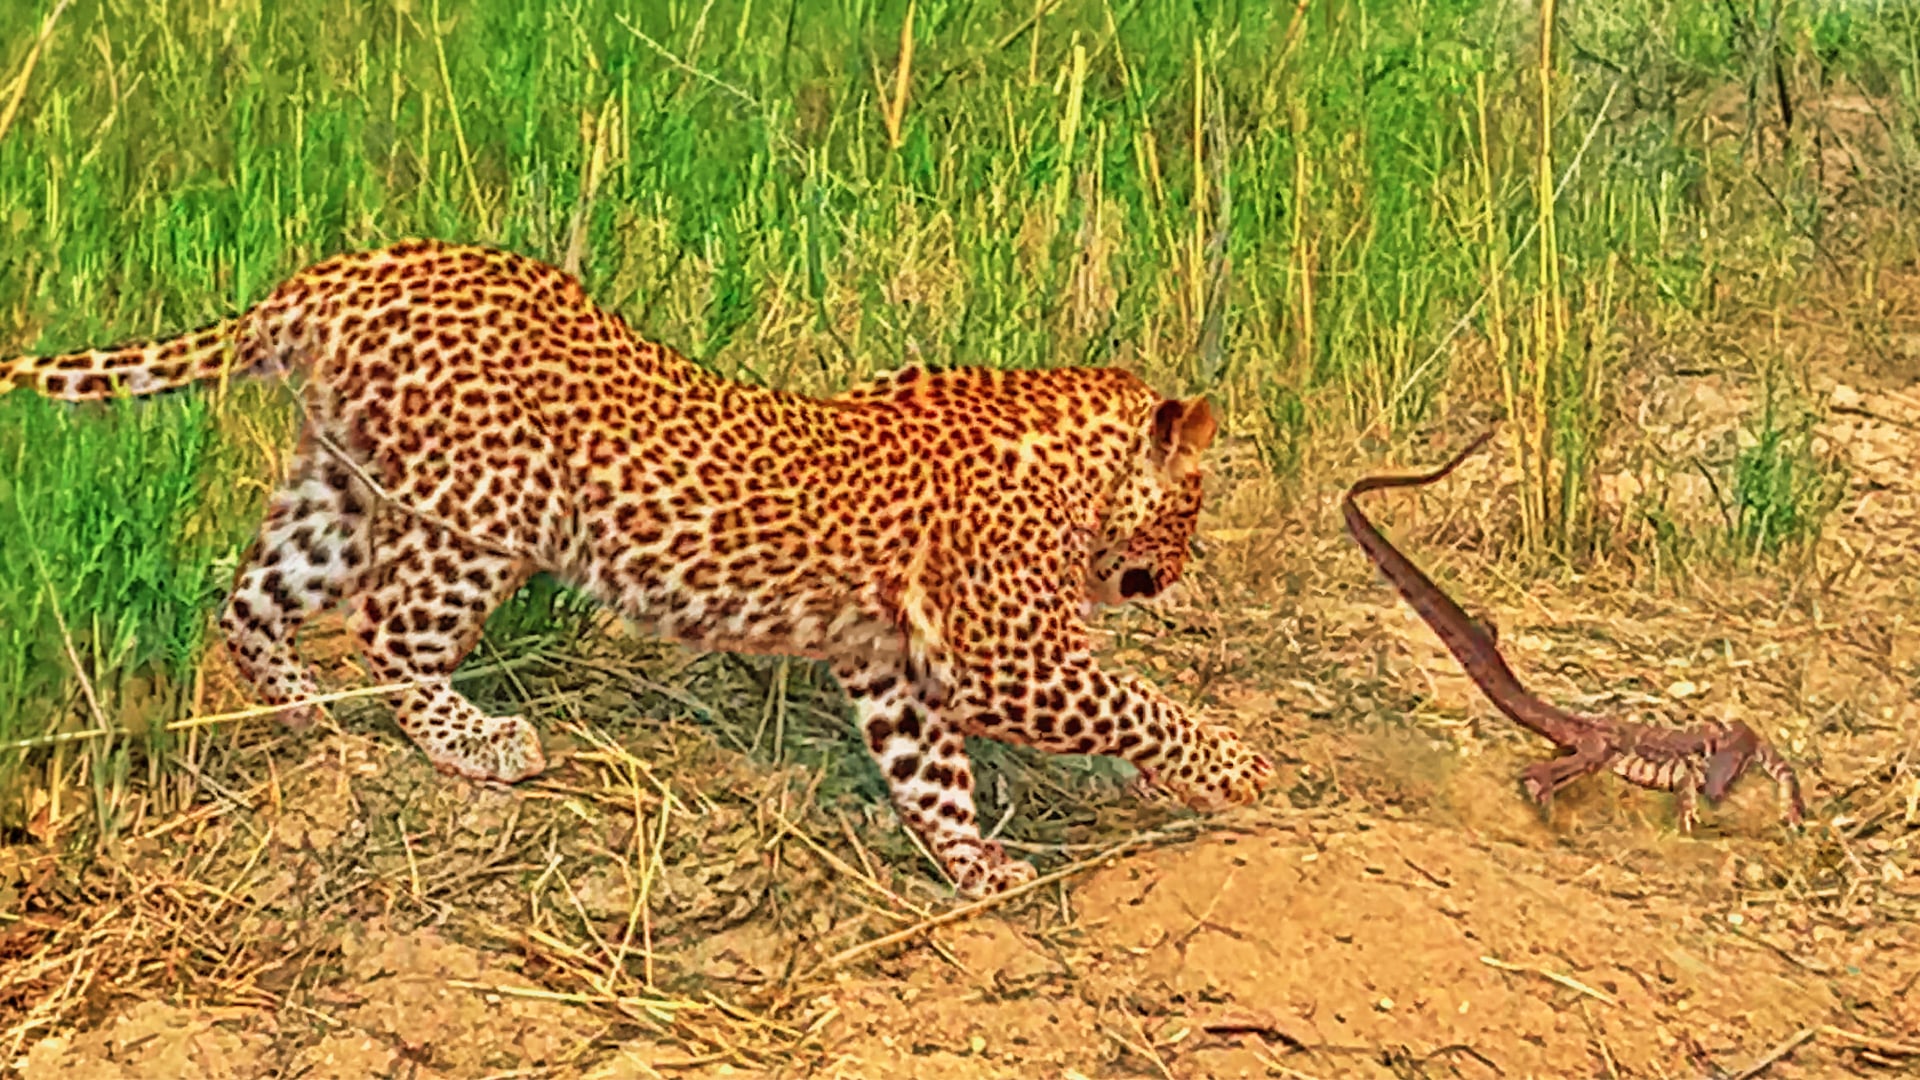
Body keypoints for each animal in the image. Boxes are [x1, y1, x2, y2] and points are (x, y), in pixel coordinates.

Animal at [1, 239, 1275, 896]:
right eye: (1196, 500)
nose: (1177, 569)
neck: (1070, 459)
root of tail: (337, 274)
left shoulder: (896, 670)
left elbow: (930, 775)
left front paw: (973, 866)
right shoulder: (1010, 656)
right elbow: (1135, 704)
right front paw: (1239, 769)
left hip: (346, 483)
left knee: (251, 601)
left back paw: (313, 724)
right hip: (486, 508)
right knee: (388, 631)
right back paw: (475, 744)